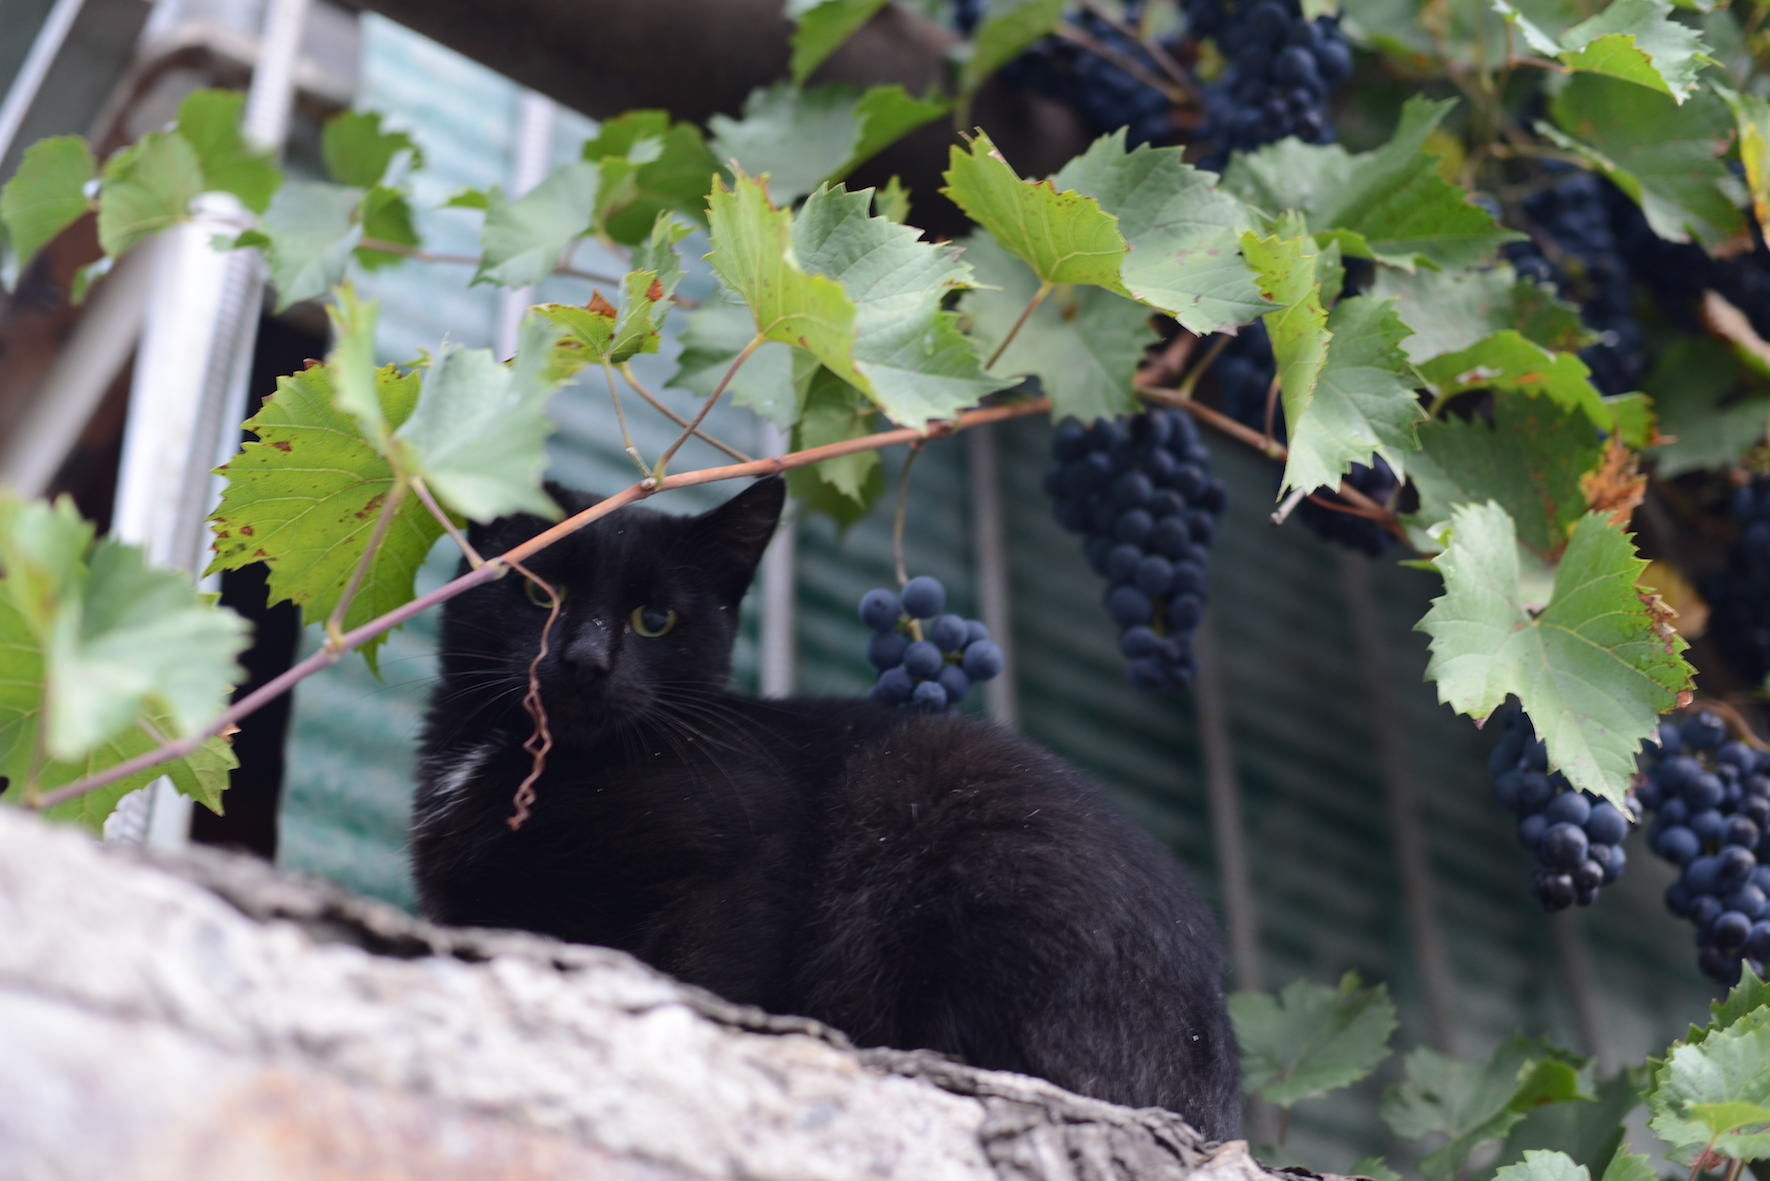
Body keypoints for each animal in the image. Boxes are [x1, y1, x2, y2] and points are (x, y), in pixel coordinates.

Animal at [410, 476, 1242, 1138]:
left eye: (656, 620)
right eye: (537, 593)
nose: (584, 661)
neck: (530, 760)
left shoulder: (742, 866)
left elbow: (705, 977)